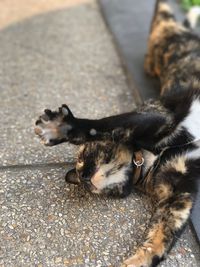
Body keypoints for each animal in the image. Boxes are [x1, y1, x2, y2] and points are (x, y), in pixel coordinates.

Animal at [34, 1, 200, 266]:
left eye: (83, 158)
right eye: (81, 181)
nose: (83, 176)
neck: (151, 160)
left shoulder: (160, 118)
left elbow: (104, 125)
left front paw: (61, 127)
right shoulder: (179, 196)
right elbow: (161, 237)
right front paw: (139, 260)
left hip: (163, 33)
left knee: (163, 12)